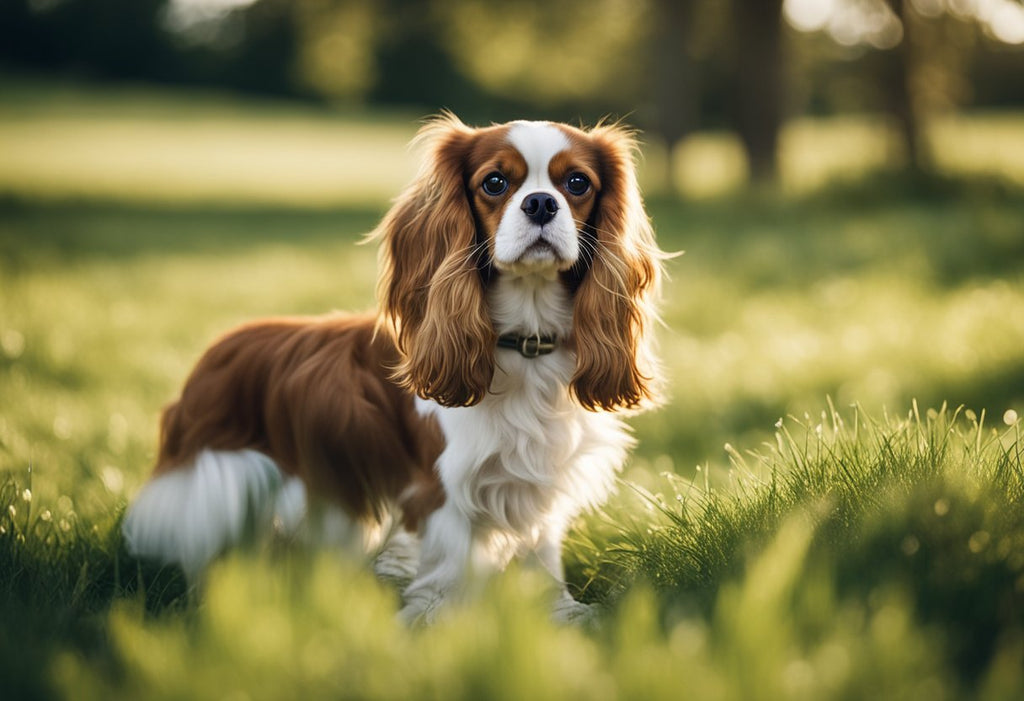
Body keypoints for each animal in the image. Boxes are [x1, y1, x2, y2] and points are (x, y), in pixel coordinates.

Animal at [121, 114, 663, 622]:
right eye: (494, 182)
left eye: (577, 183)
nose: (541, 204)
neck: (523, 345)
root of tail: (212, 353)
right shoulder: (440, 487)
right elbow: (448, 562)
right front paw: (435, 620)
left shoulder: (540, 479)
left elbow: (541, 553)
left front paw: (560, 614)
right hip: (218, 479)